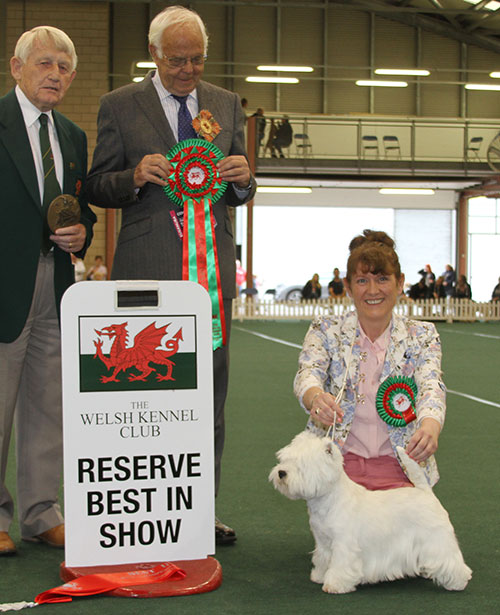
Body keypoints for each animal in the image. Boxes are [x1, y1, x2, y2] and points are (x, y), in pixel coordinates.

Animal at [268, 430, 470, 596]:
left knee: (451, 560)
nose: (281, 473)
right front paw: (319, 575)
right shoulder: (323, 542)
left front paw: (335, 585)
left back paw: (458, 582)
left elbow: (341, 565)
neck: (329, 500)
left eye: (301, 465)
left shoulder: (344, 544)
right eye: (284, 460)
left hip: (437, 538)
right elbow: (323, 559)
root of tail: (425, 491)